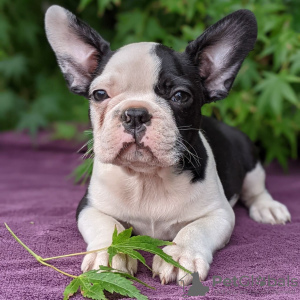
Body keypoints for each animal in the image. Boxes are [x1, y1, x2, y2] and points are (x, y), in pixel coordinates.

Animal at [44, 5, 290, 284]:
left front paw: (180, 254)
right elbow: (108, 225)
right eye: (99, 94)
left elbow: (196, 228)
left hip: (250, 160)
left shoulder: (219, 213)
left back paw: (268, 208)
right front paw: (110, 254)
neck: (147, 178)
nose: (135, 113)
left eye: (180, 96)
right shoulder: (89, 207)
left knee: (257, 189)